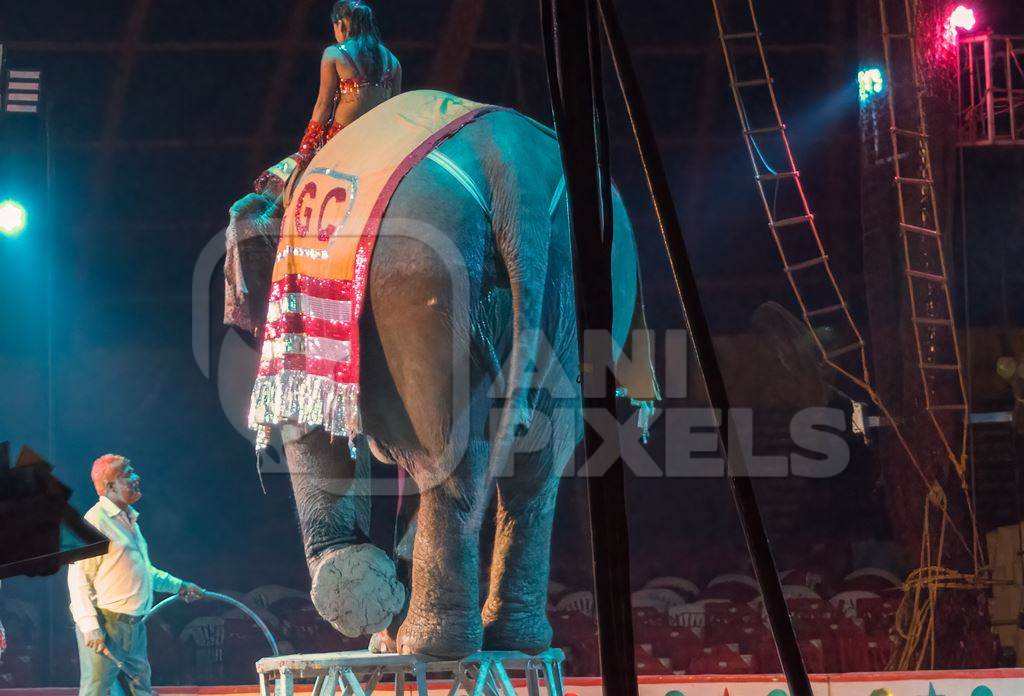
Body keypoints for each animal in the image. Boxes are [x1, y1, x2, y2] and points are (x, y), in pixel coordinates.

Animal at [224, 103, 655, 659]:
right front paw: (380, 616)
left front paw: (357, 594)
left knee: (452, 462)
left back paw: (429, 647)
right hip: (581, 290)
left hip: (420, 277)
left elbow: (312, 418)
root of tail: (513, 169)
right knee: (535, 470)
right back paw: (510, 641)